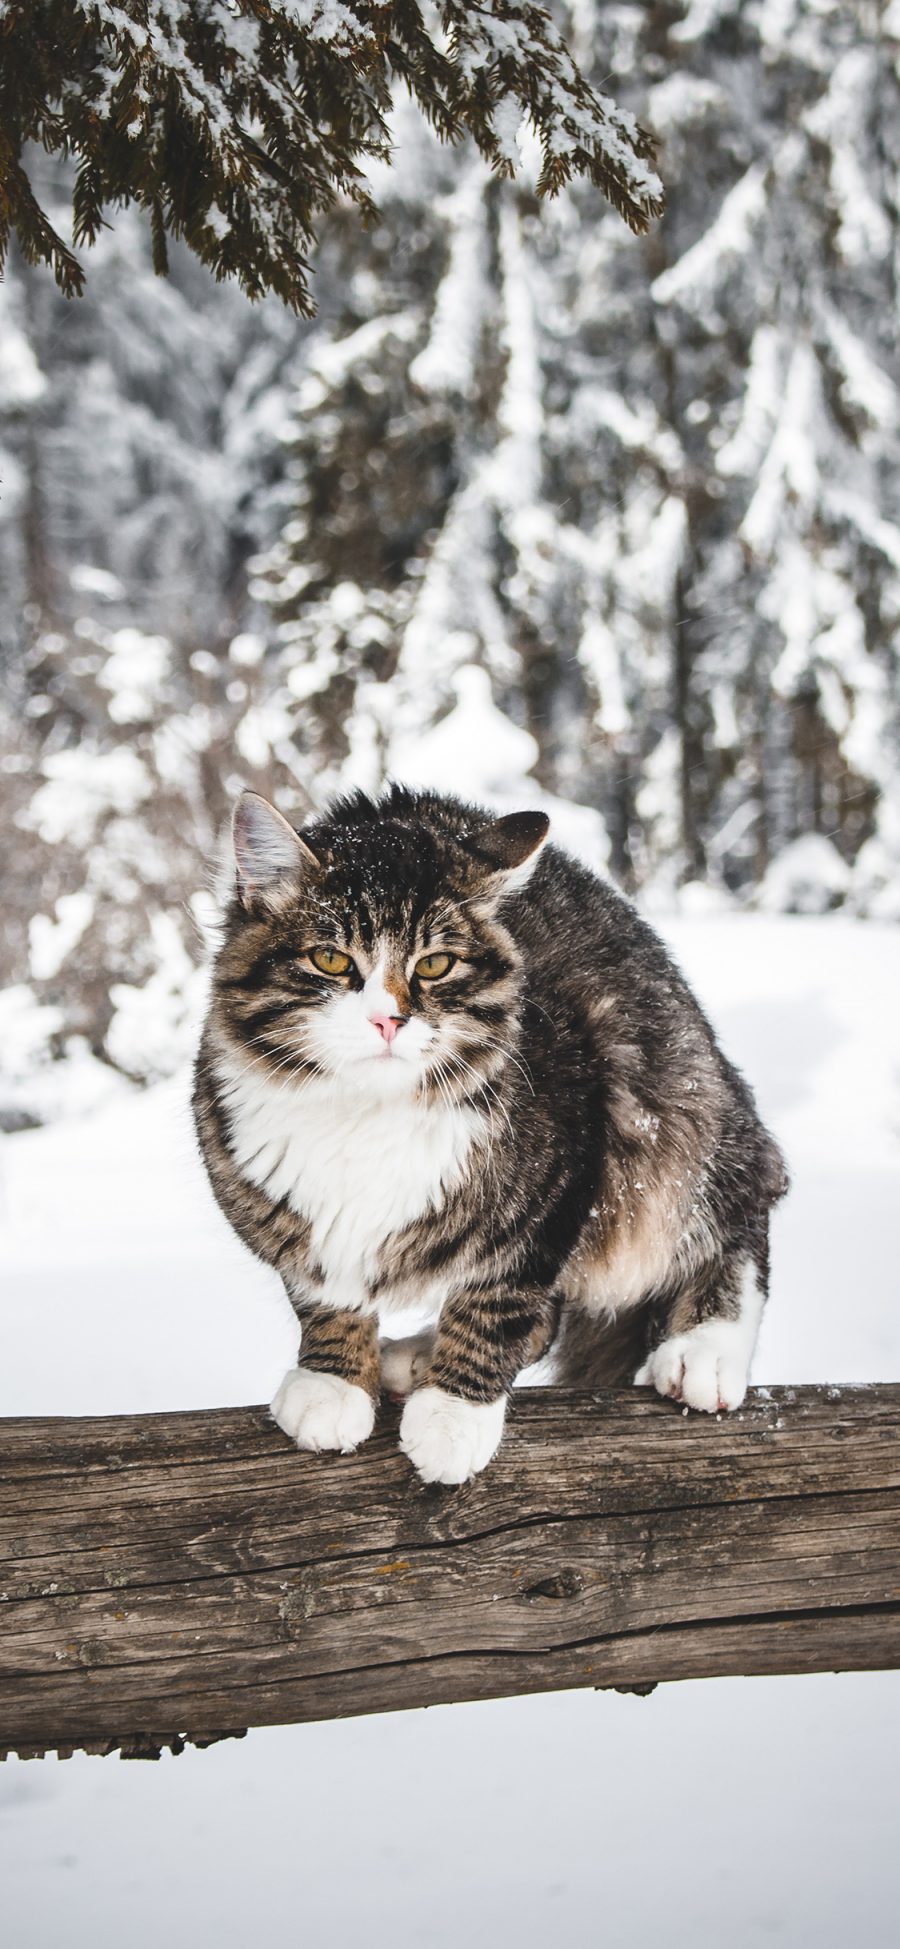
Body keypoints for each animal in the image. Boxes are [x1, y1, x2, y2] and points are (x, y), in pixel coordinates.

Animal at [191, 783, 787, 1481]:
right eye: (331, 959)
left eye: (435, 965)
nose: (388, 1021)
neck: (367, 1110)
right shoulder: (281, 1206)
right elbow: (321, 1292)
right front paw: (332, 1380)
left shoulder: (564, 1174)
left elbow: (497, 1306)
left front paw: (454, 1415)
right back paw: (415, 1354)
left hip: (679, 1120)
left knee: (737, 1216)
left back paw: (705, 1348)